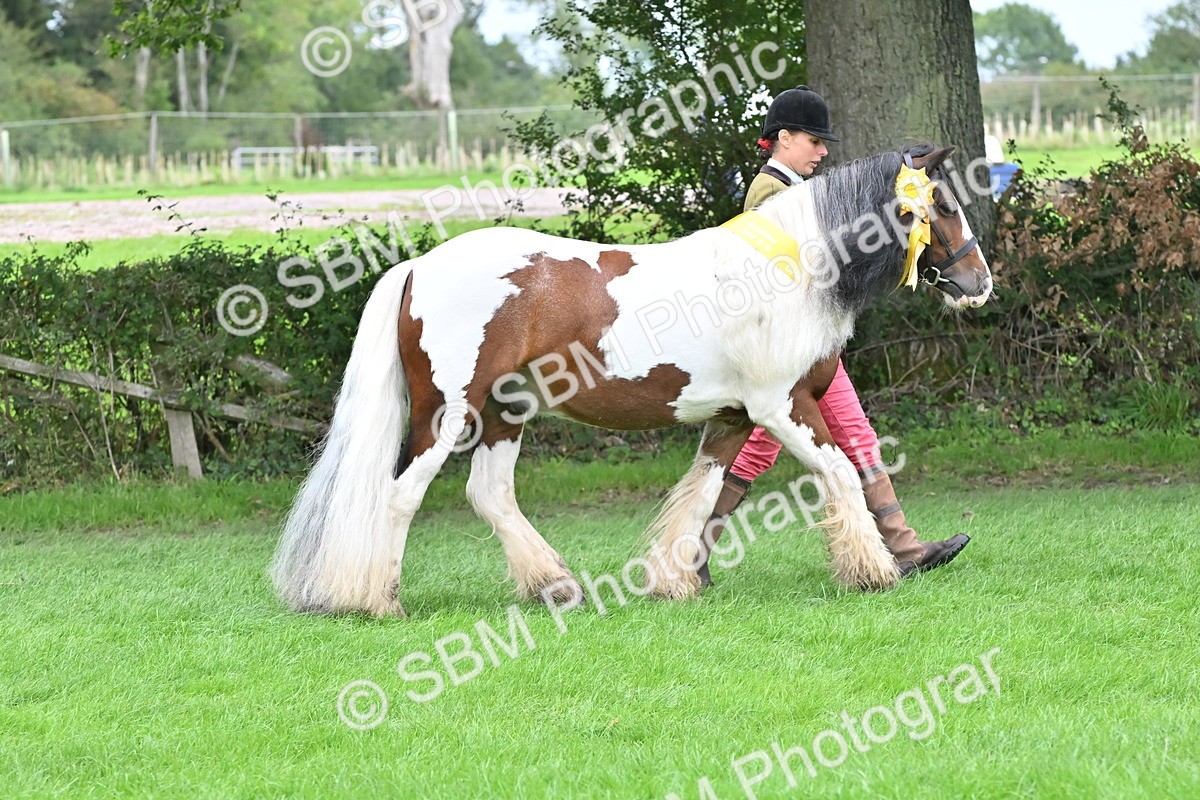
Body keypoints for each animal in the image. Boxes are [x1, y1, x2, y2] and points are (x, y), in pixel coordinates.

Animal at [271, 144, 992, 617]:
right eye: (941, 204)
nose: (979, 283)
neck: (788, 271)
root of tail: (418, 265)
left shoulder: (734, 416)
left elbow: (705, 494)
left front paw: (677, 582)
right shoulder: (783, 406)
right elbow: (841, 471)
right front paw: (873, 572)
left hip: (505, 412)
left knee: (491, 495)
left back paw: (557, 588)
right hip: (446, 416)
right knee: (400, 497)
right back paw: (384, 603)